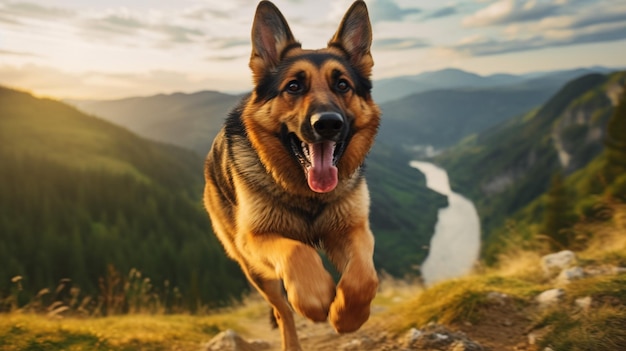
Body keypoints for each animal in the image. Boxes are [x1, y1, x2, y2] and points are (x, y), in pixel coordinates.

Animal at [205, 1, 378, 350]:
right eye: (294, 87)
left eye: (343, 85)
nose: (328, 124)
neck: (306, 194)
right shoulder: (255, 239)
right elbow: (298, 252)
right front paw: (316, 296)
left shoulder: (353, 230)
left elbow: (364, 278)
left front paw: (347, 315)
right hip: (256, 269)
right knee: (282, 309)